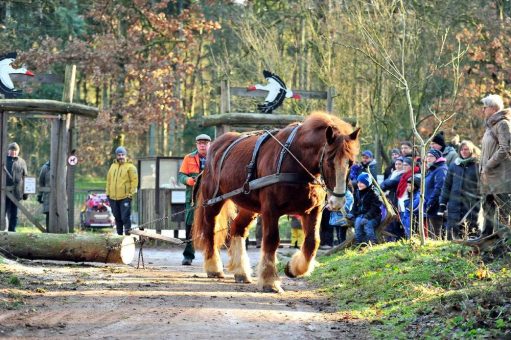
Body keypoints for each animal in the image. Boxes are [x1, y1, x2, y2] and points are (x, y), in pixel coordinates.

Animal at [192, 112, 360, 292]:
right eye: (329, 160)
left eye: (351, 162)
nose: (338, 200)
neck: (296, 158)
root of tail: (216, 147)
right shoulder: (270, 209)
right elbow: (271, 240)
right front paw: (269, 280)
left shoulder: (312, 211)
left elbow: (312, 242)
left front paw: (293, 268)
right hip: (212, 202)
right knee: (210, 230)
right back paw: (214, 267)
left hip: (250, 207)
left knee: (237, 229)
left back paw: (241, 271)